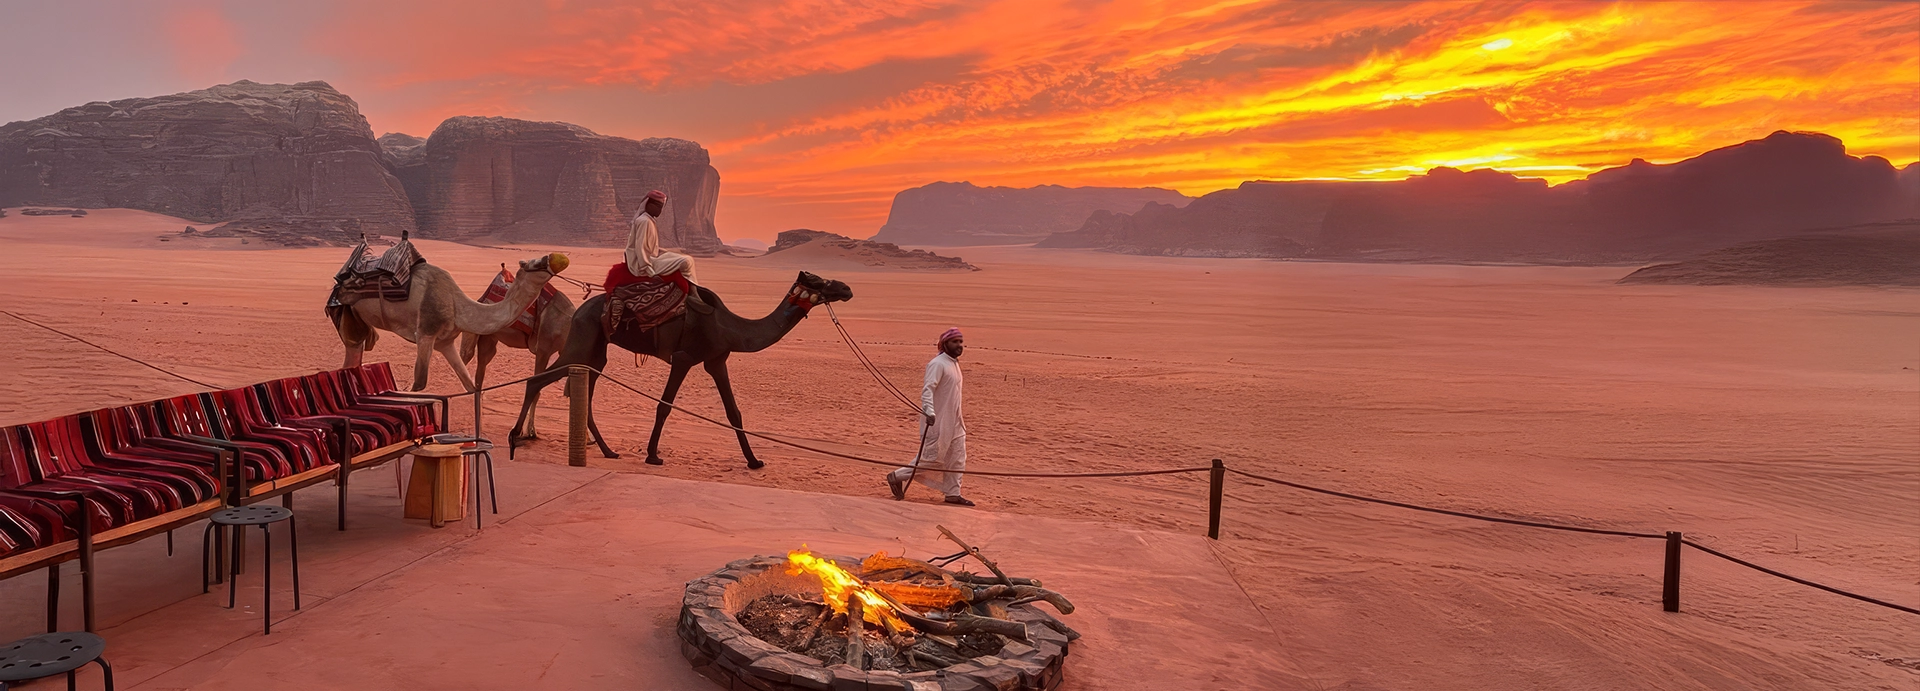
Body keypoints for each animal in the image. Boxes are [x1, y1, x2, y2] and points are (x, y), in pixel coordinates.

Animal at [333, 252, 569, 391]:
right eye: (534, 262)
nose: (556, 257)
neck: (459, 308)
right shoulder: (426, 333)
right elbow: (419, 384)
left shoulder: (445, 342)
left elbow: (470, 386)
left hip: (355, 318)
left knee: (352, 358)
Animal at [458, 290, 575, 441]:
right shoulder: (543, 350)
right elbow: (535, 388)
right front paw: (528, 431)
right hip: (472, 334)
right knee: (464, 358)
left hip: (488, 341)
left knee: (479, 378)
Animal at [508, 271, 853, 468]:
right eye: (821, 281)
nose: (847, 288)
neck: (730, 328)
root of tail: (580, 309)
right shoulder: (685, 357)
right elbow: (665, 405)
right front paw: (652, 455)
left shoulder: (717, 359)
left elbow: (734, 412)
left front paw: (755, 461)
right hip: (582, 339)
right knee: (537, 380)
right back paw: (514, 439)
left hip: (595, 349)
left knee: (584, 389)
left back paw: (608, 451)